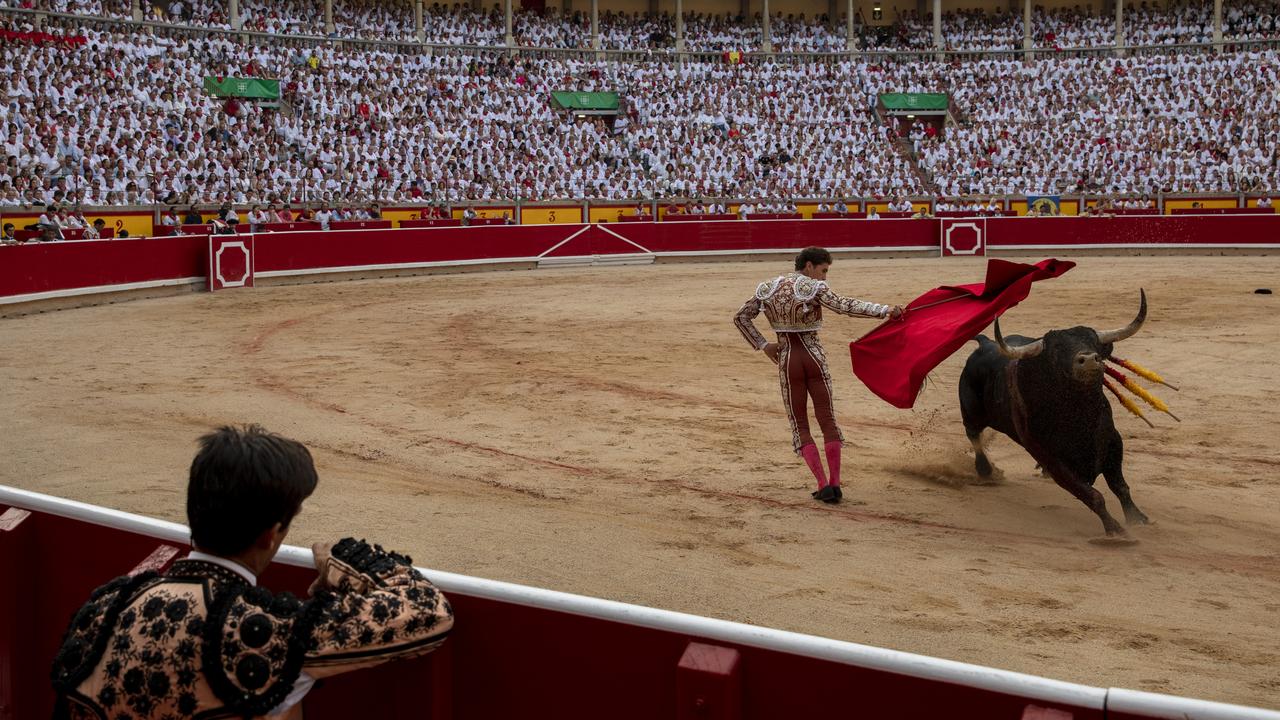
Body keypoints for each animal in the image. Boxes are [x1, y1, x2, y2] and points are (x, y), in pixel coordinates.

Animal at [962, 288, 1152, 535]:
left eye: (1093, 342)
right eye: (1056, 351)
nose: (1089, 360)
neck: (1079, 413)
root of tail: (984, 344)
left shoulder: (1112, 441)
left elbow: (1119, 486)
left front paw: (1137, 518)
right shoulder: (1050, 458)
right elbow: (1092, 495)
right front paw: (1114, 529)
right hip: (970, 412)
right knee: (973, 435)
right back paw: (985, 471)